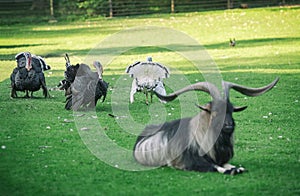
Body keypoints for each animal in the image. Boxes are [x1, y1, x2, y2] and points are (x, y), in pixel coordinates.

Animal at [134, 78, 278, 175]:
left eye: (231, 111)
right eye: (214, 112)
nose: (228, 125)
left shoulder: (221, 159)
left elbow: (228, 164)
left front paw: (237, 168)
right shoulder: (190, 162)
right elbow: (214, 167)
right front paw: (232, 171)